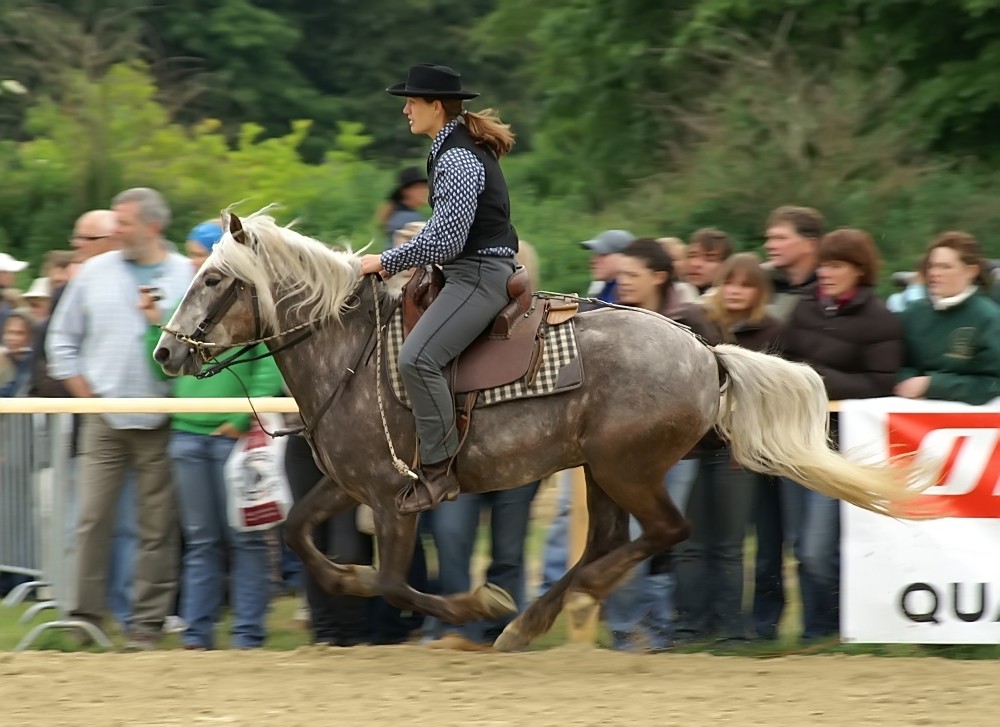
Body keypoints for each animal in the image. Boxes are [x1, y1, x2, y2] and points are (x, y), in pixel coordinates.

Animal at [154, 210, 936, 656]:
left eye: (216, 279)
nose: (165, 352)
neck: (351, 349)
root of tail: (706, 352)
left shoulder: (395, 497)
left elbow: (396, 582)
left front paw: (480, 604)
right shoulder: (351, 485)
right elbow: (300, 539)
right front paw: (348, 581)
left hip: (625, 468)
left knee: (665, 533)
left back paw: (536, 614)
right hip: (602, 470)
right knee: (613, 541)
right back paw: (548, 609)